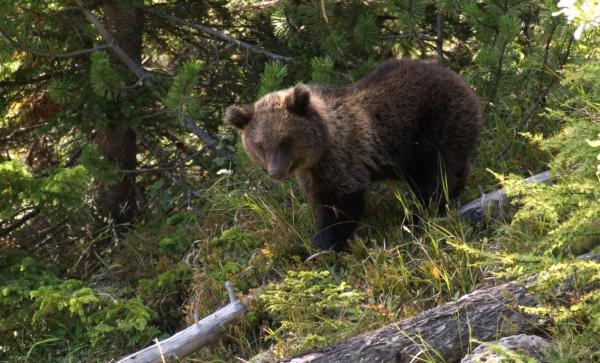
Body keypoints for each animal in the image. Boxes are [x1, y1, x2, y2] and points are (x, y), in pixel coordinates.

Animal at [224, 59, 482, 253]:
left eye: (284, 140)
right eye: (260, 146)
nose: (275, 172)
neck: (324, 143)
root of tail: (465, 84)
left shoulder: (342, 159)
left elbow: (341, 205)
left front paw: (324, 245)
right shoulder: (312, 172)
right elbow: (322, 201)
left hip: (432, 125)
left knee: (434, 175)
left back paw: (418, 216)